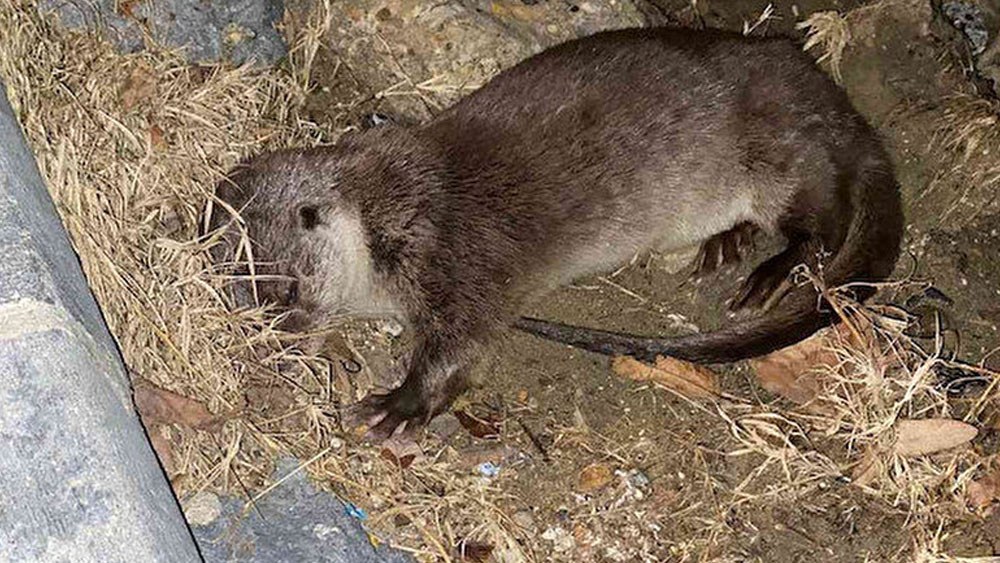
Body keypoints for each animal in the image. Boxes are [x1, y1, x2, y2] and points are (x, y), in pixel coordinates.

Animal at [209, 26, 908, 442]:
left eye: (287, 290)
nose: (276, 339)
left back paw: (769, 272)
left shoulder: (460, 258)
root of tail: (838, 106)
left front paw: (399, 404)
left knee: (823, 223)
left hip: (783, 154)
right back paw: (724, 245)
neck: (392, 212)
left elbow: (460, 347)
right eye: (240, 299)